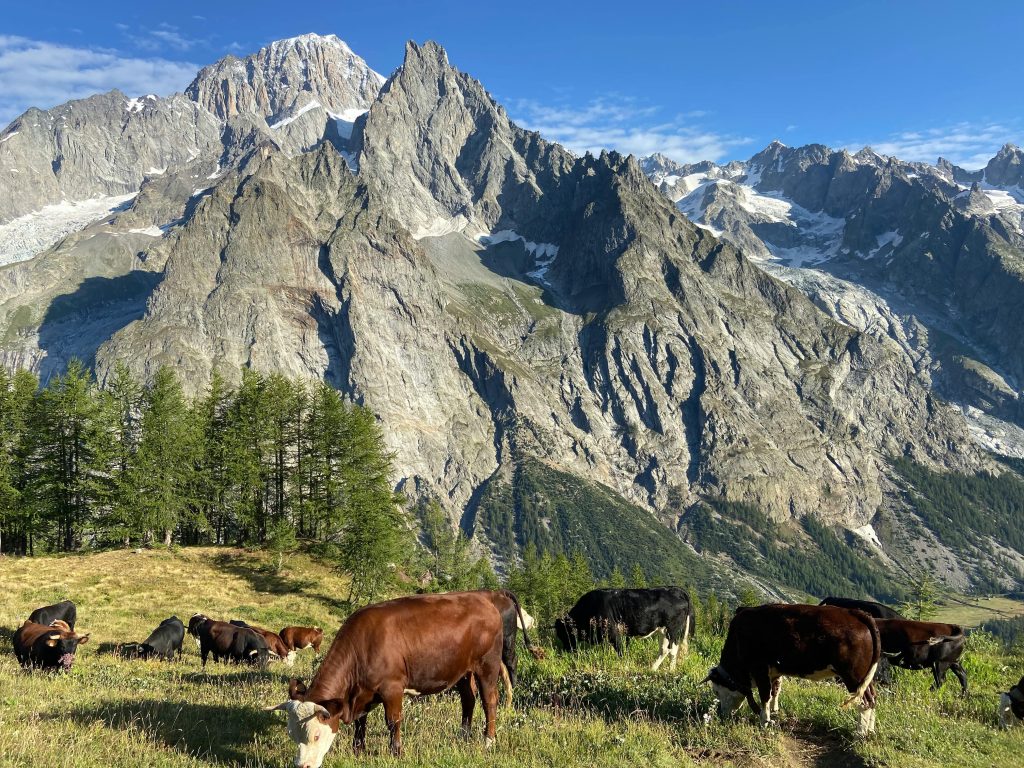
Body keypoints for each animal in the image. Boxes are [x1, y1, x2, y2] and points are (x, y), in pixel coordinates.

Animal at [265, 591, 505, 764]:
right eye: (292, 735)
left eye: (315, 735)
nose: (302, 765)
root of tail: (483, 599)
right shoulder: (362, 693)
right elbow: (360, 722)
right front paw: (358, 750)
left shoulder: (392, 688)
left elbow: (393, 721)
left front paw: (396, 753)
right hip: (463, 671)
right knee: (468, 699)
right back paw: (463, 735)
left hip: (488, 664)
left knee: (489, 701)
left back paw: (488, 741)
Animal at [554, 587, 693, 671]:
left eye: (564, 633)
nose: (567, 650)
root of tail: (676, 590)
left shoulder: (613, 633)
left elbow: (620, 651)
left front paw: (624, 666)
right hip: (663, 631)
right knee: (665, 650)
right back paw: (657, 669)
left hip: (672, 629)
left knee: (671, 649)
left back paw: (666, 670)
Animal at [703, 604, 880, 736]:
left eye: (716, 691)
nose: (722, 714)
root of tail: (854, 613)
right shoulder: (774, 671)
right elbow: (775, 690)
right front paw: (773, 712)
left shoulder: (760, 667)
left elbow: (765, 695)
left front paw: (764, 721)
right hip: (865, 676)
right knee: (872, 697)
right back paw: (870, 731)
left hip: (853, 675)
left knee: (864, 701)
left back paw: (860, 733)